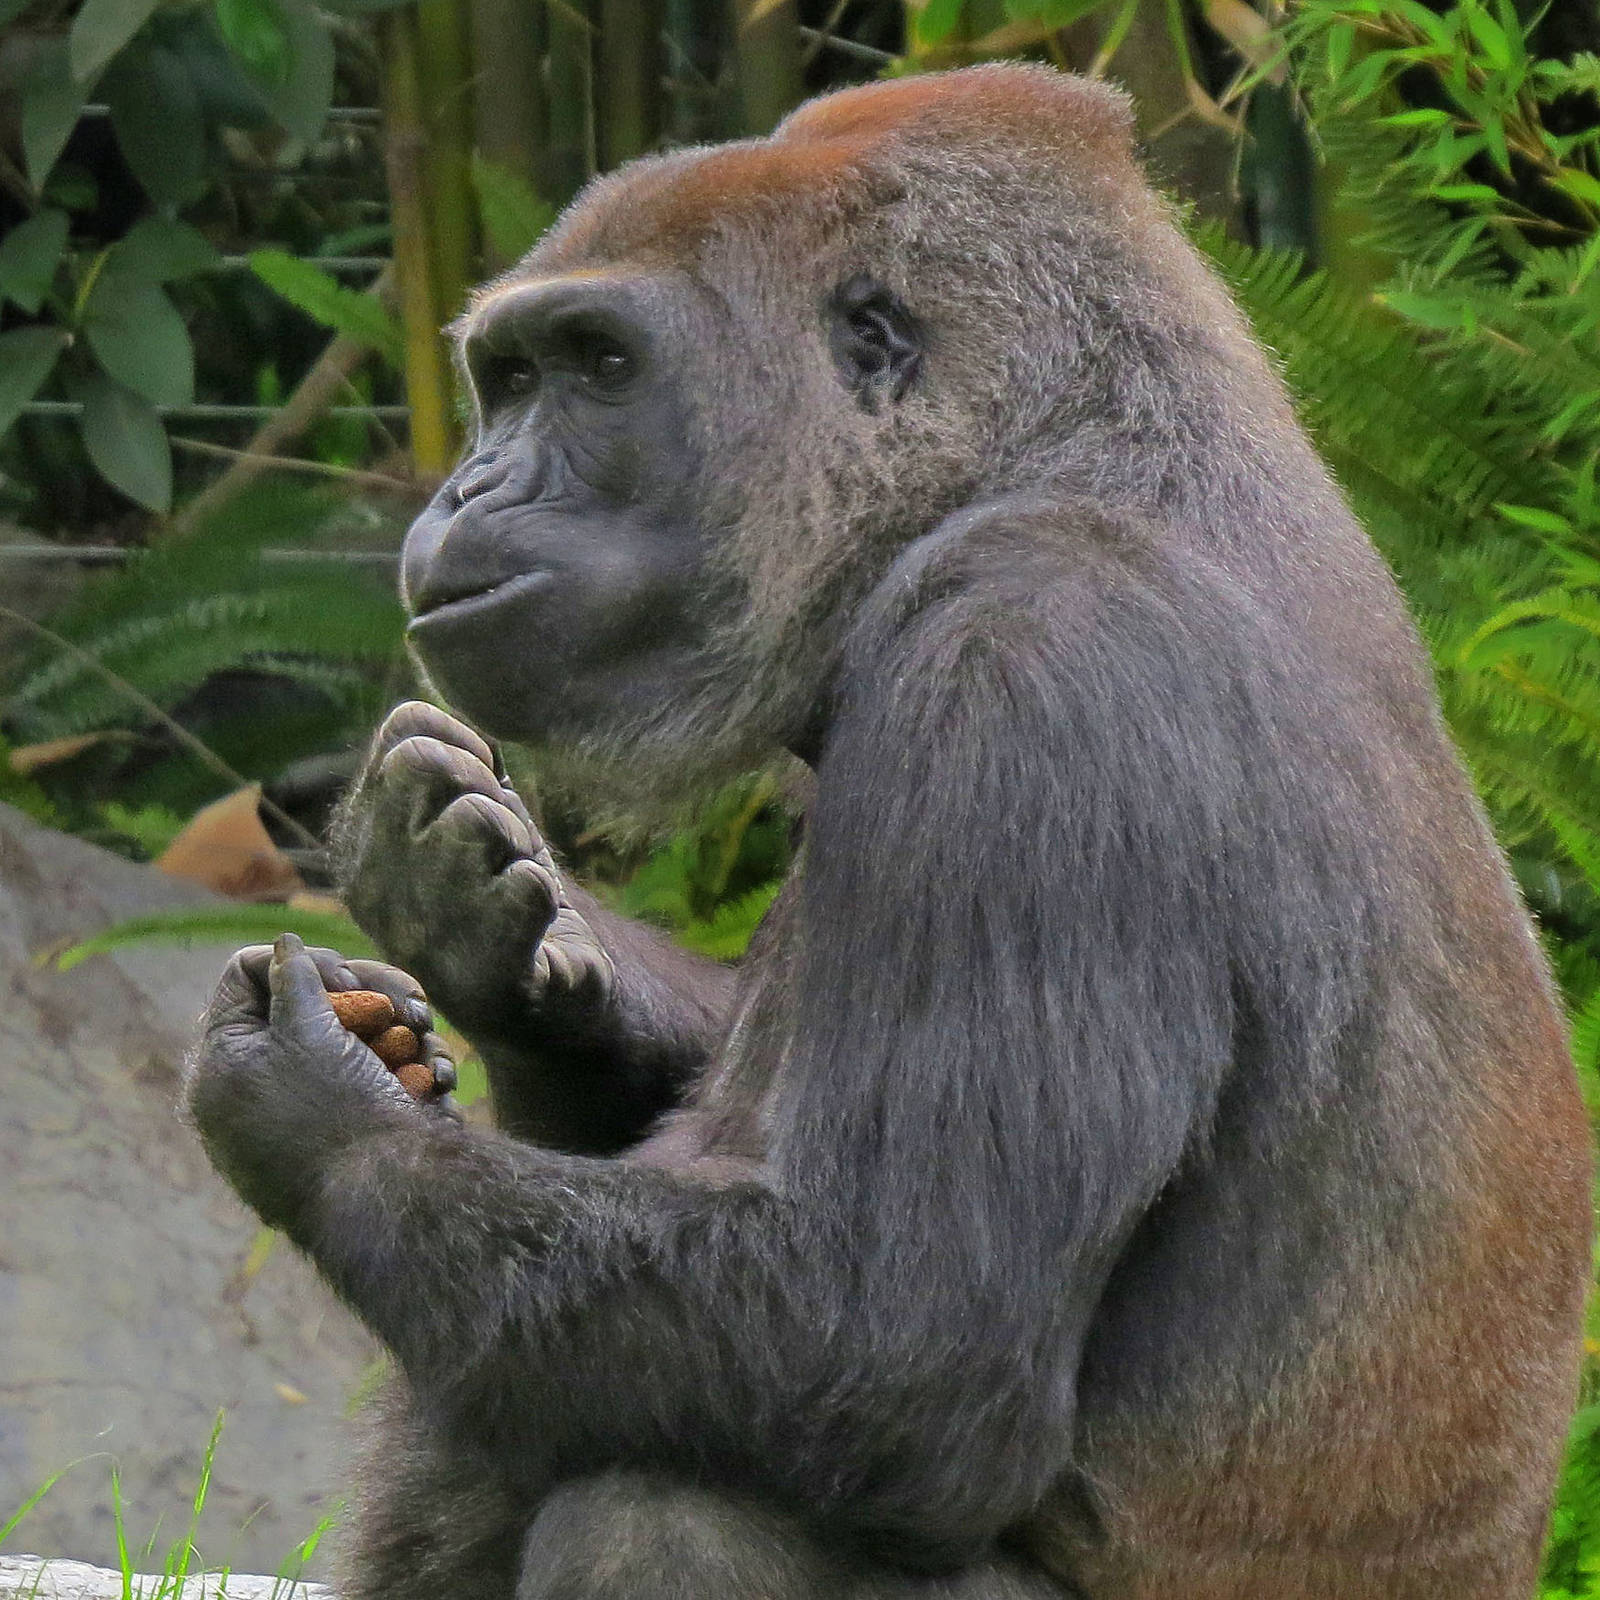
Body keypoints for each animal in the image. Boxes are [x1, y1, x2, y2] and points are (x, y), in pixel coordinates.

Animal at [185, 64, 1593, 1600]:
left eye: (601, 366)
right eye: (508, 381)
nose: (470, 490)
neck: (1056, 455)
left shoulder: (1027, 677)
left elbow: (896, 1337)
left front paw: (321, 1115)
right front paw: (501, 945)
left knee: (667, 1506)